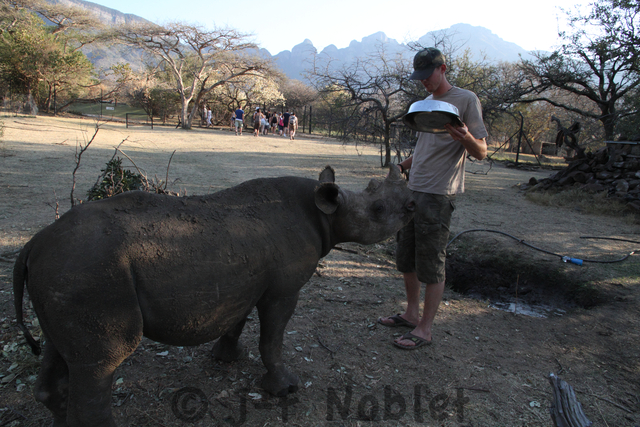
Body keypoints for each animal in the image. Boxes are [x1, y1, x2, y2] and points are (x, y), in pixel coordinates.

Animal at [14, 165, 414, 427]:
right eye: (378, 210)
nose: (411, 207)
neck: (324, 212)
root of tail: (33, 245)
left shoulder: (245, 279)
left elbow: (237, 319)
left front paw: (227, 358)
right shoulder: (283, 290)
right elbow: (273, 338)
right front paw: (285, 388)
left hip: (67, 274)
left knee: (62, 353)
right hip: (90, 271)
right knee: (103, 361)